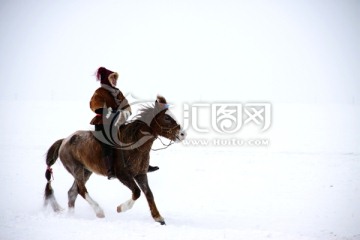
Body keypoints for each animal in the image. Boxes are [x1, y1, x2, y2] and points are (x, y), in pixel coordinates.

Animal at [43, 95, 186, 225]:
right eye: (167, 117)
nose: (183, 134)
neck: (133, 144)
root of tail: (64, 141)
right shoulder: (123, 175)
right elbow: (137, 192)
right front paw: (121, 208)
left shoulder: (141, 174)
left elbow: (148, 193)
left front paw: (158, 217)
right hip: (76, 168)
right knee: (81, 190)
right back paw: (99, 211)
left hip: (86, 171)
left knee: (72, 192)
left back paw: (71, 215)